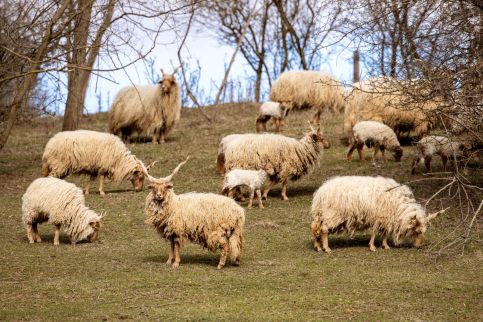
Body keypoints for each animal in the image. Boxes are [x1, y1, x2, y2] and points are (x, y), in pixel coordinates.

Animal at [310, 175, 446, 253]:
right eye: (417, 231)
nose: (419, 246)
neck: (399, 207)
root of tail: (321, 192)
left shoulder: (387, 218)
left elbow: (385, 233)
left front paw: (385, 245)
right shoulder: (380, 216)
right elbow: (375, 232)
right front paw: (372, 247)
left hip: (320, 215)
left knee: (316, 229)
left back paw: (318, 247)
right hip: (332, 214)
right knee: (324, 229)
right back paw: (326, 248)